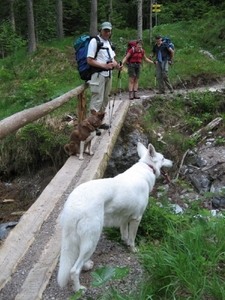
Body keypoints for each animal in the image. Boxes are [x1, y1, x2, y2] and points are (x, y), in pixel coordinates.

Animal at [56, 143, 172, 292]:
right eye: (163, 158)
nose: (172, 162)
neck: (146, 167)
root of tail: (74, 206)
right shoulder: (136, 219)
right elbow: (132, 239)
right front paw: (133, 250)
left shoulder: (124, 218)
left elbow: (125, 236)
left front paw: (125, 243)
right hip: (92, 240)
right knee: (74, 270)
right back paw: (79, 289)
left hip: (77, 240)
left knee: (76, 260)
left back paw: (86, 265)